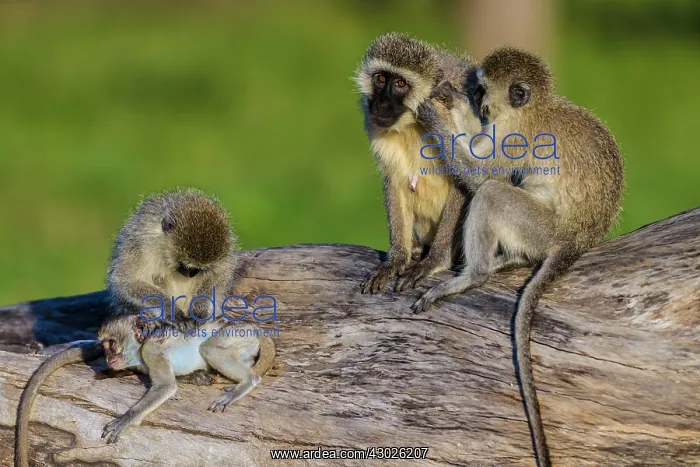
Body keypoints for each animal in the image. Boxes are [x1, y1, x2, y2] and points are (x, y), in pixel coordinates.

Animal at [15, 313, 276, 467]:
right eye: (104, 347)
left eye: (110, 344)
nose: (108, 357)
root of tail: (254, 328)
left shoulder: (151, 350)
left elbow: (166, 385)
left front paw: (126, 419)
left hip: (234, 336)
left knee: (211, 349)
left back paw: (246, 381)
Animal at [107, 188, 238, 330]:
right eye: (184, 265)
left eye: (199, 269)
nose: (191, 274)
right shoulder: (139, 244)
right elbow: (127, 282)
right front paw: (172, 311)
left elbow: (219, 274)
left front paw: (200, 309)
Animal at [355, 33, 480, 294]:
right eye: (381, 79)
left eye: (401, 84)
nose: (380, 104)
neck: (411, 123)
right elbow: (395, 181)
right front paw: (396, 259)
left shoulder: (447, 114)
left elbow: (466, 180)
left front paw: (434, 261)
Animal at [410, 47, 624, 467]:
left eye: (482, 91)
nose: (477, 104)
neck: (535, 109)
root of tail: (576, 240)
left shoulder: (514, 137)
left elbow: (481, 175)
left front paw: (436, 116)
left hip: (541, 227)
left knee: (493, 192)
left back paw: (473, 275)